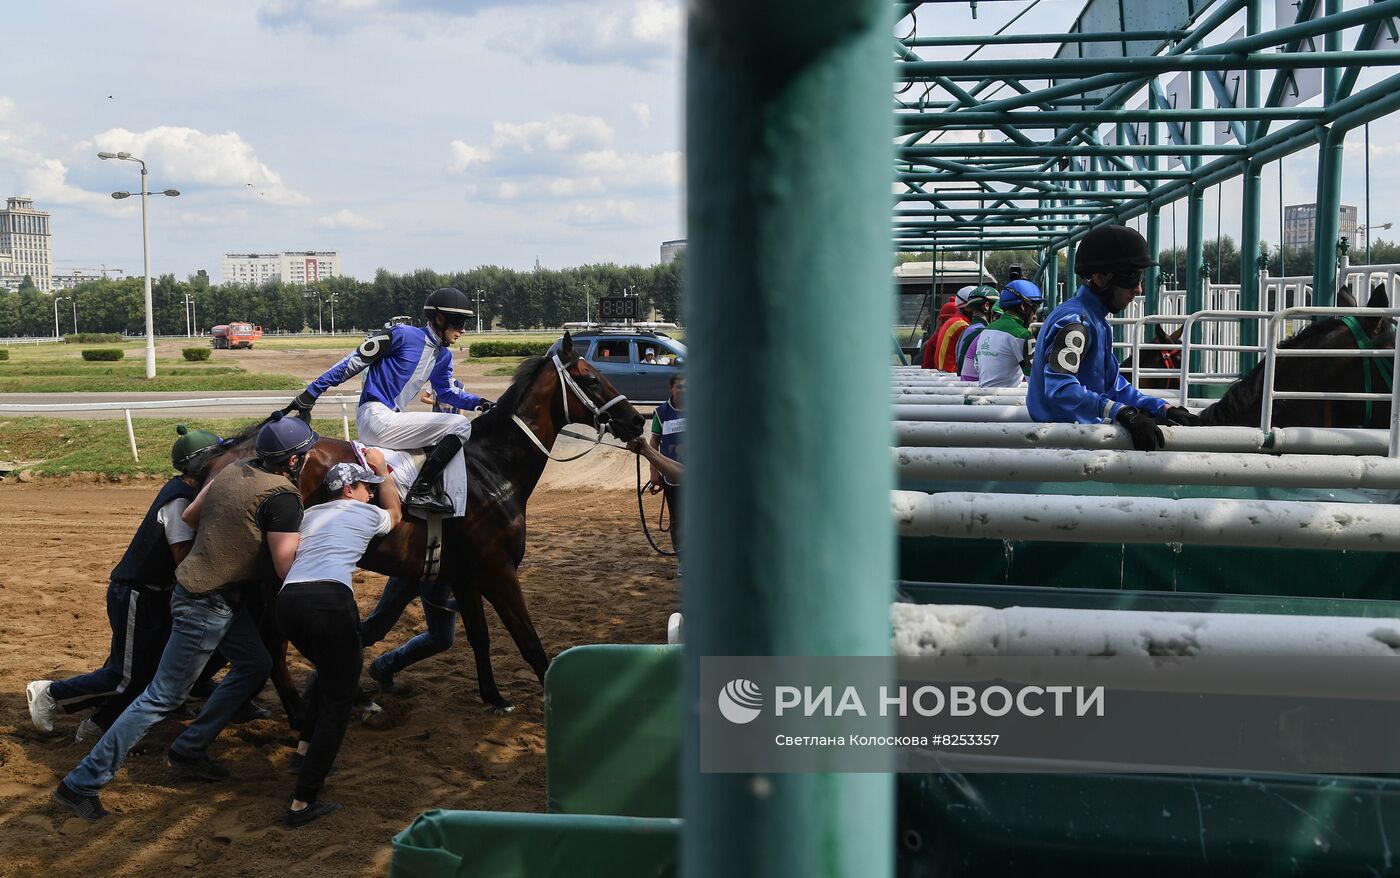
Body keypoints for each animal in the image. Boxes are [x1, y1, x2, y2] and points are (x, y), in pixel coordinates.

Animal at [204, 333, 646, 716]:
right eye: (591, 378)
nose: (636, 421)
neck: (490, 469)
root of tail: (230, 454)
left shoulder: (464, 574)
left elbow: (480, 637)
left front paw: (494, 696)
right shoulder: (498, 571)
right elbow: (530, 642)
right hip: (272, 576)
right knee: (273, 642)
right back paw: (306, 712)